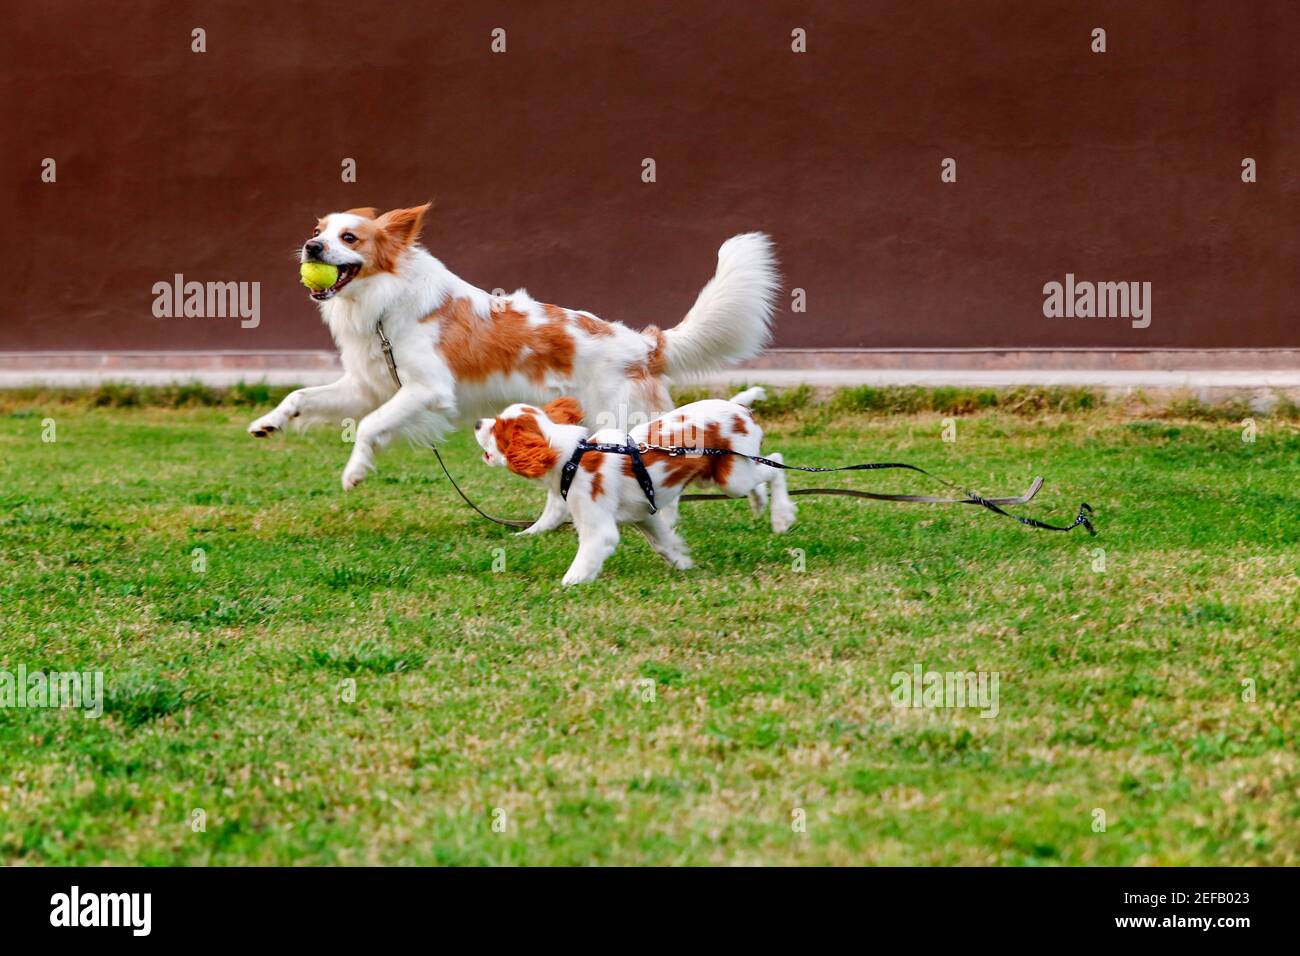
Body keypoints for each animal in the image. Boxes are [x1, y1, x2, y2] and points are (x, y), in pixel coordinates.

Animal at [248, 201, 774, 509]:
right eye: (317, 230)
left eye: (349, 238)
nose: (311, 247)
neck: (384, 301)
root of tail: (646, 344)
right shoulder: (366, 387)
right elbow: (300, 396)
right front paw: (269, 423)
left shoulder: (425, 390)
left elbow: (369, 426)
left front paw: (355, 471)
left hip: (625, 424)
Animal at [475, 387, 790, 582]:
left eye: (497, 429)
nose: (477, 423)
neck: (573, 456)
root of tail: (740, 408)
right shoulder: (643, 515)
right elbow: (664, 543)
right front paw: (683, 563)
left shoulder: (596, 525)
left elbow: (584, 559)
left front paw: (569, 583)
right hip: (720, 473)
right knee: (761, 473)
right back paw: (760, 502)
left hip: (732, 478)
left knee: (775, 463)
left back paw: (781, 517)